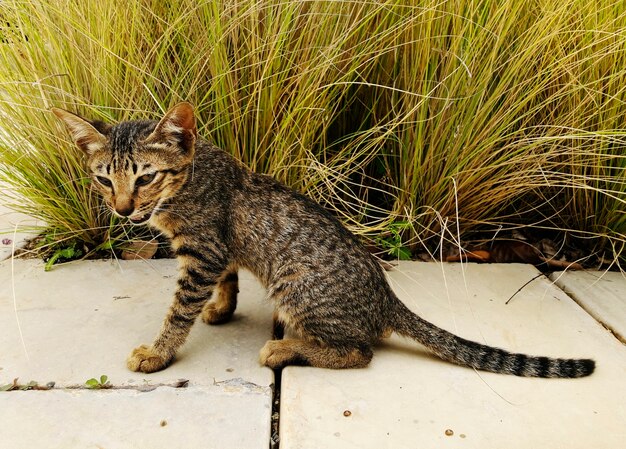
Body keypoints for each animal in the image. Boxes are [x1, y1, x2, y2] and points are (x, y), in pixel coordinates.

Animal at [51, 103, 592, 376]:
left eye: (145, 178)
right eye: (104, 179)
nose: (123, 209)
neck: (188, 181)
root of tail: (385, 298)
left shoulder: (202, 250)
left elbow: (178, 311)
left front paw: (159, 352)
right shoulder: (220, 250)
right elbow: (228, 279)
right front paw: (222, 309)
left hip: (296, 287)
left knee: (360, 352)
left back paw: (287, 349)